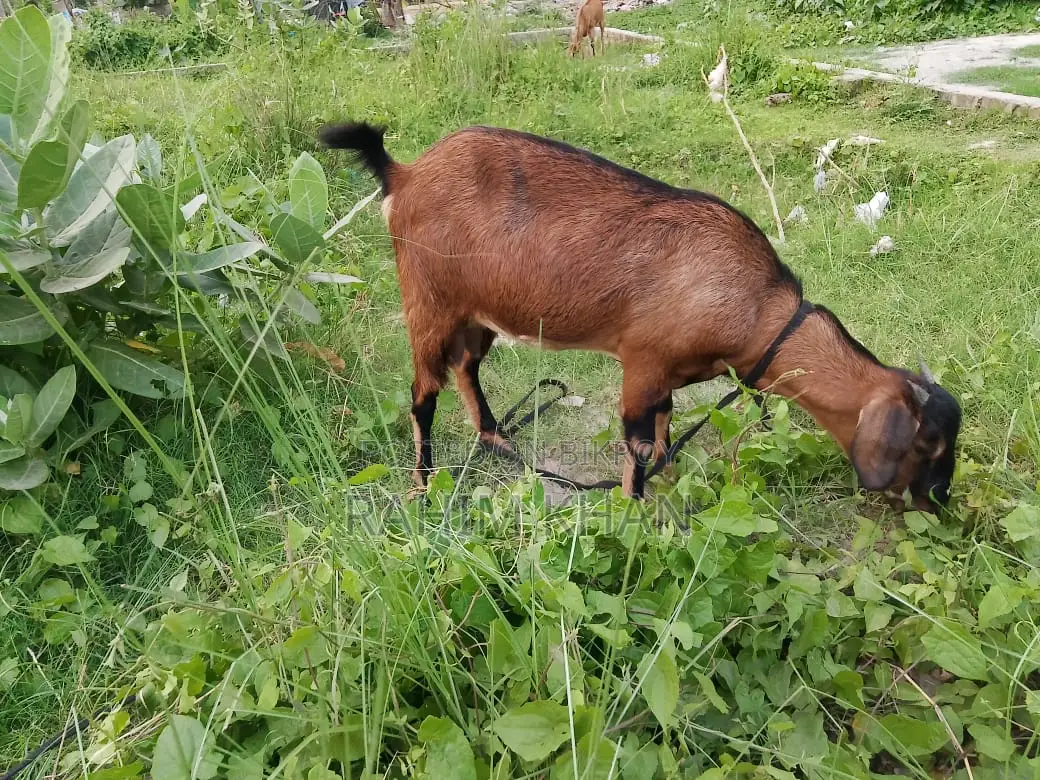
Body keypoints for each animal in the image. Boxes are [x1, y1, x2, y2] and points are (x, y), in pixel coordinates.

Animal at [319, 122, 962, 512]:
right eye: (927, 442)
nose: (940, 499)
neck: (755, 308)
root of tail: (404, 174)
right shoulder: (643, 362)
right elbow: (639, 444)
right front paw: (633, 511)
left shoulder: (669, 377)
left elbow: (665, 429)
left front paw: (670, 485)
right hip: (427, 301)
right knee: (423, 395)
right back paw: (423, 484)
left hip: (476, 313)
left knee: (466, 368)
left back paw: (496, 437)